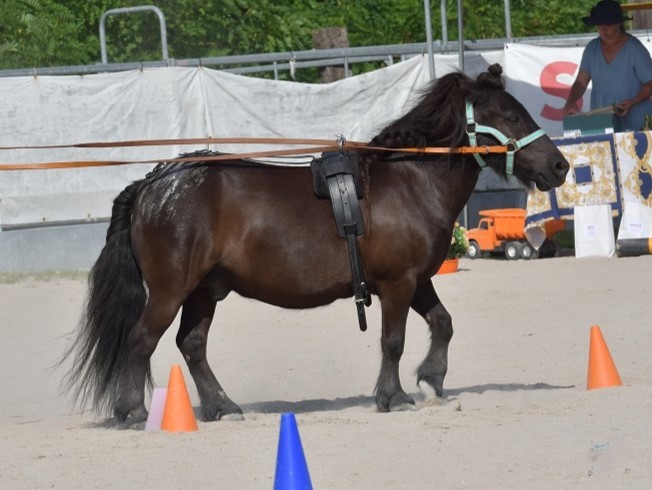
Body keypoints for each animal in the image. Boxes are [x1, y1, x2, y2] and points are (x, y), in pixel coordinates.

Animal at [62, 65, 572, 424]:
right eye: (511, 115)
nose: (560, 166)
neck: (409, 179)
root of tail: (153, 184)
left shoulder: (416, 280)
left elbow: (443, 323)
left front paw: (431, 379)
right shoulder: (398, 283)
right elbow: (393, 340)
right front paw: (393, 396)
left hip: (205, 291)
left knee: (192, 344)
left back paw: (222, 405)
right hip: (171, 290)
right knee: (142, 340)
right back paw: (132, 410)